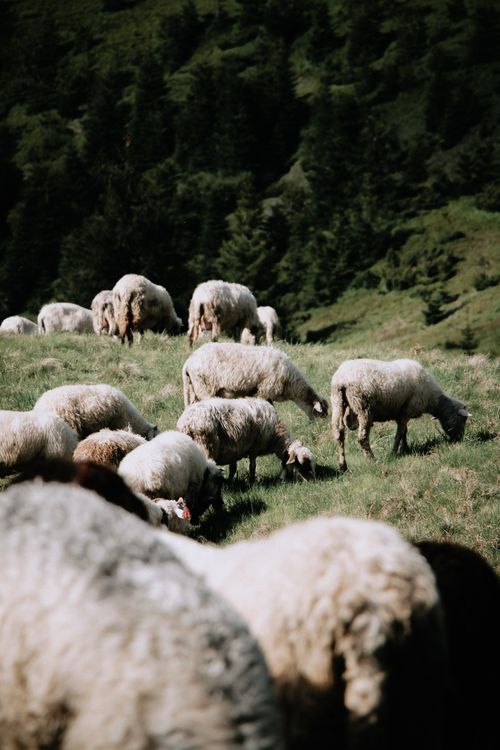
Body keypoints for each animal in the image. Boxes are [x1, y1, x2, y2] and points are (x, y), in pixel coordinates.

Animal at [177, 397, 315, 483]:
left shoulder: (234, 450)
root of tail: (188, 423)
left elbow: (233, 468)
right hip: (205, 446)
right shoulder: (254, 447)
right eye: (302, 464)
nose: (312, 481)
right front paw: (252, 481)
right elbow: (252, 466)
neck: (275, 435)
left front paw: (230, 482)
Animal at [182, 342, 329, 420]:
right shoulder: (265, 390)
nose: (320, 426)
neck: (291, 384)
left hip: (193, 390)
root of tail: (188, 363)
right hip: (205, 388)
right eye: (321, 413)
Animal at [331, 358, 470, 470]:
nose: (459, 440)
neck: (434, 401)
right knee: (362, 438)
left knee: (339, 433)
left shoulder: (402, 413)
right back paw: (373, 460)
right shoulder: (406, 412)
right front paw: (394, 453)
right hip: (363, 406)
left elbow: (404, 432)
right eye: (463, 420)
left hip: (337, 402)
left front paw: (405, 449)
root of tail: (342, 379)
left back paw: (343, 465)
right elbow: (399, 434)